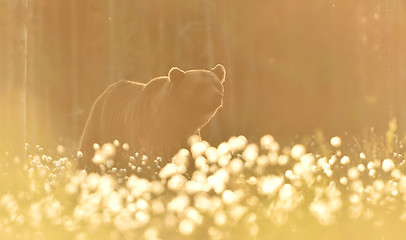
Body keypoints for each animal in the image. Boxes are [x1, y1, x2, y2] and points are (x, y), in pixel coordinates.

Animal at [77, 63, 227, 176]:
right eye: (200, 86)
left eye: (217, 84)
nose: (217, 96)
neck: (178, 120)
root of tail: (104, 93)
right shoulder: (151, 133)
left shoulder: (188, 136)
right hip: (100, 127)